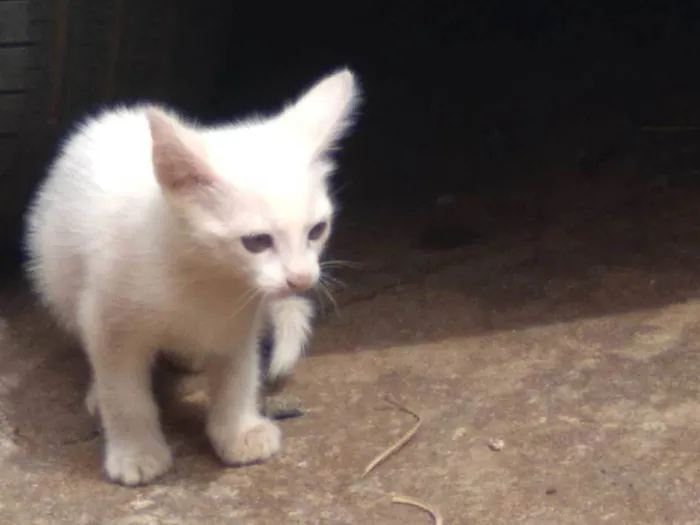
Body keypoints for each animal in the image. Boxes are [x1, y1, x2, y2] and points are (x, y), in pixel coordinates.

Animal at [21, 67, 360, 486]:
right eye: (257, 241)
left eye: (317, 231)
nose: (300, 279)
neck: (204, 276)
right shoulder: (106, 317)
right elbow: (124, 391)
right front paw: (135, 449)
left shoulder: (239, 323)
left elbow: (239, 374)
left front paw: (237, 431)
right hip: (55, 275)